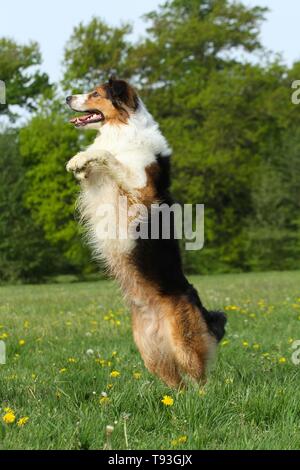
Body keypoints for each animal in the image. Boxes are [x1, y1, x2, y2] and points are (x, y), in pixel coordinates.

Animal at [65, 76, 225, 386]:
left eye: (95, 94)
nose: (67, 97)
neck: (123, 129)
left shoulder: (140, 189)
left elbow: (107, 155)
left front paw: (81, 158)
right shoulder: (101, 188)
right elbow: (95, 166)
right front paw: (80, 163)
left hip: (183, 342)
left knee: (199, 377)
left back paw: (207, 395)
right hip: (149, 349)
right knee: (176, 384)